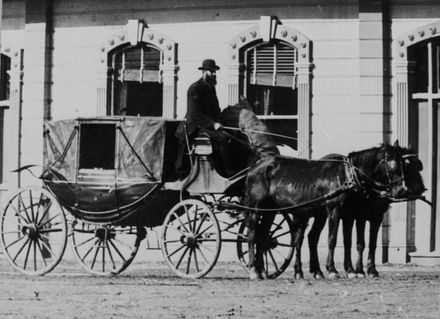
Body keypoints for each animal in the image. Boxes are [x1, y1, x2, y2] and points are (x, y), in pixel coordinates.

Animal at [244, 142, 416, 280]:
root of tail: (256, 166)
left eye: (404, 164)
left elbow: (350, 241)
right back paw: (253, 269)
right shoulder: (335, 210)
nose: (402, 190)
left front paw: (352, 270)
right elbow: (332, 239)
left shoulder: (350, 214)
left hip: (271, 210)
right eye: (392, 164)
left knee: (264, 236)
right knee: (252, 235)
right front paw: (333, 269)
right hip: (257, 208)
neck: (347, 175)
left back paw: (265, 271)